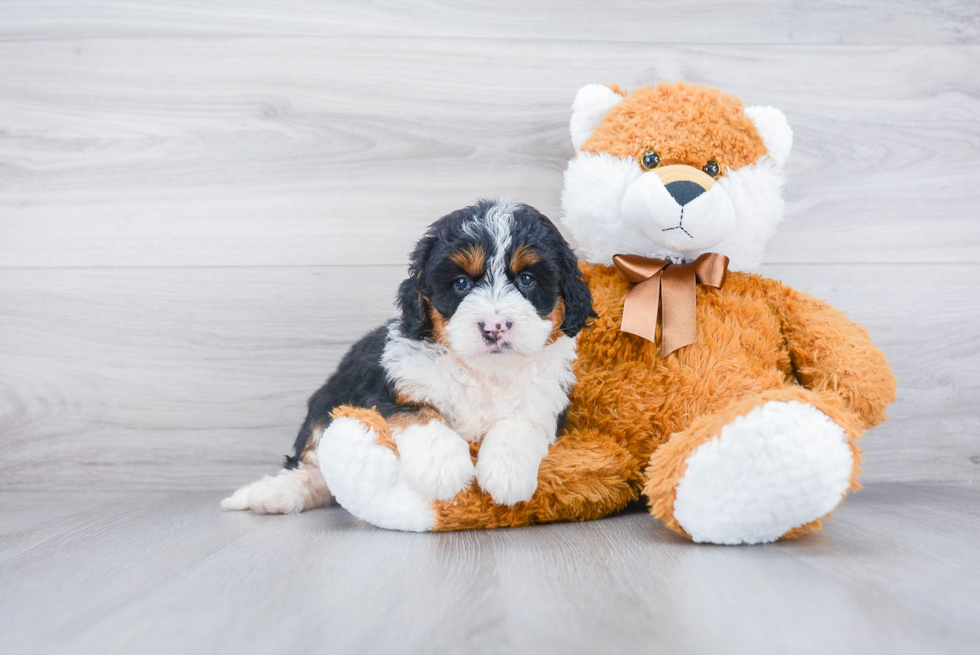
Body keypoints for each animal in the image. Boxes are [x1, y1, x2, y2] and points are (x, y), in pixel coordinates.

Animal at [222, 197, 592, 516]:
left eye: (527, 279)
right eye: (461, 283)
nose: (494, 327)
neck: (484, 372)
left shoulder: (547, 400)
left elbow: (520, 421)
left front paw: (506, 473)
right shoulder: (383, 388)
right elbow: (418, 412)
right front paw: (443, 467)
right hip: (327, 400)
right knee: (313, 463)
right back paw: (273, 493)